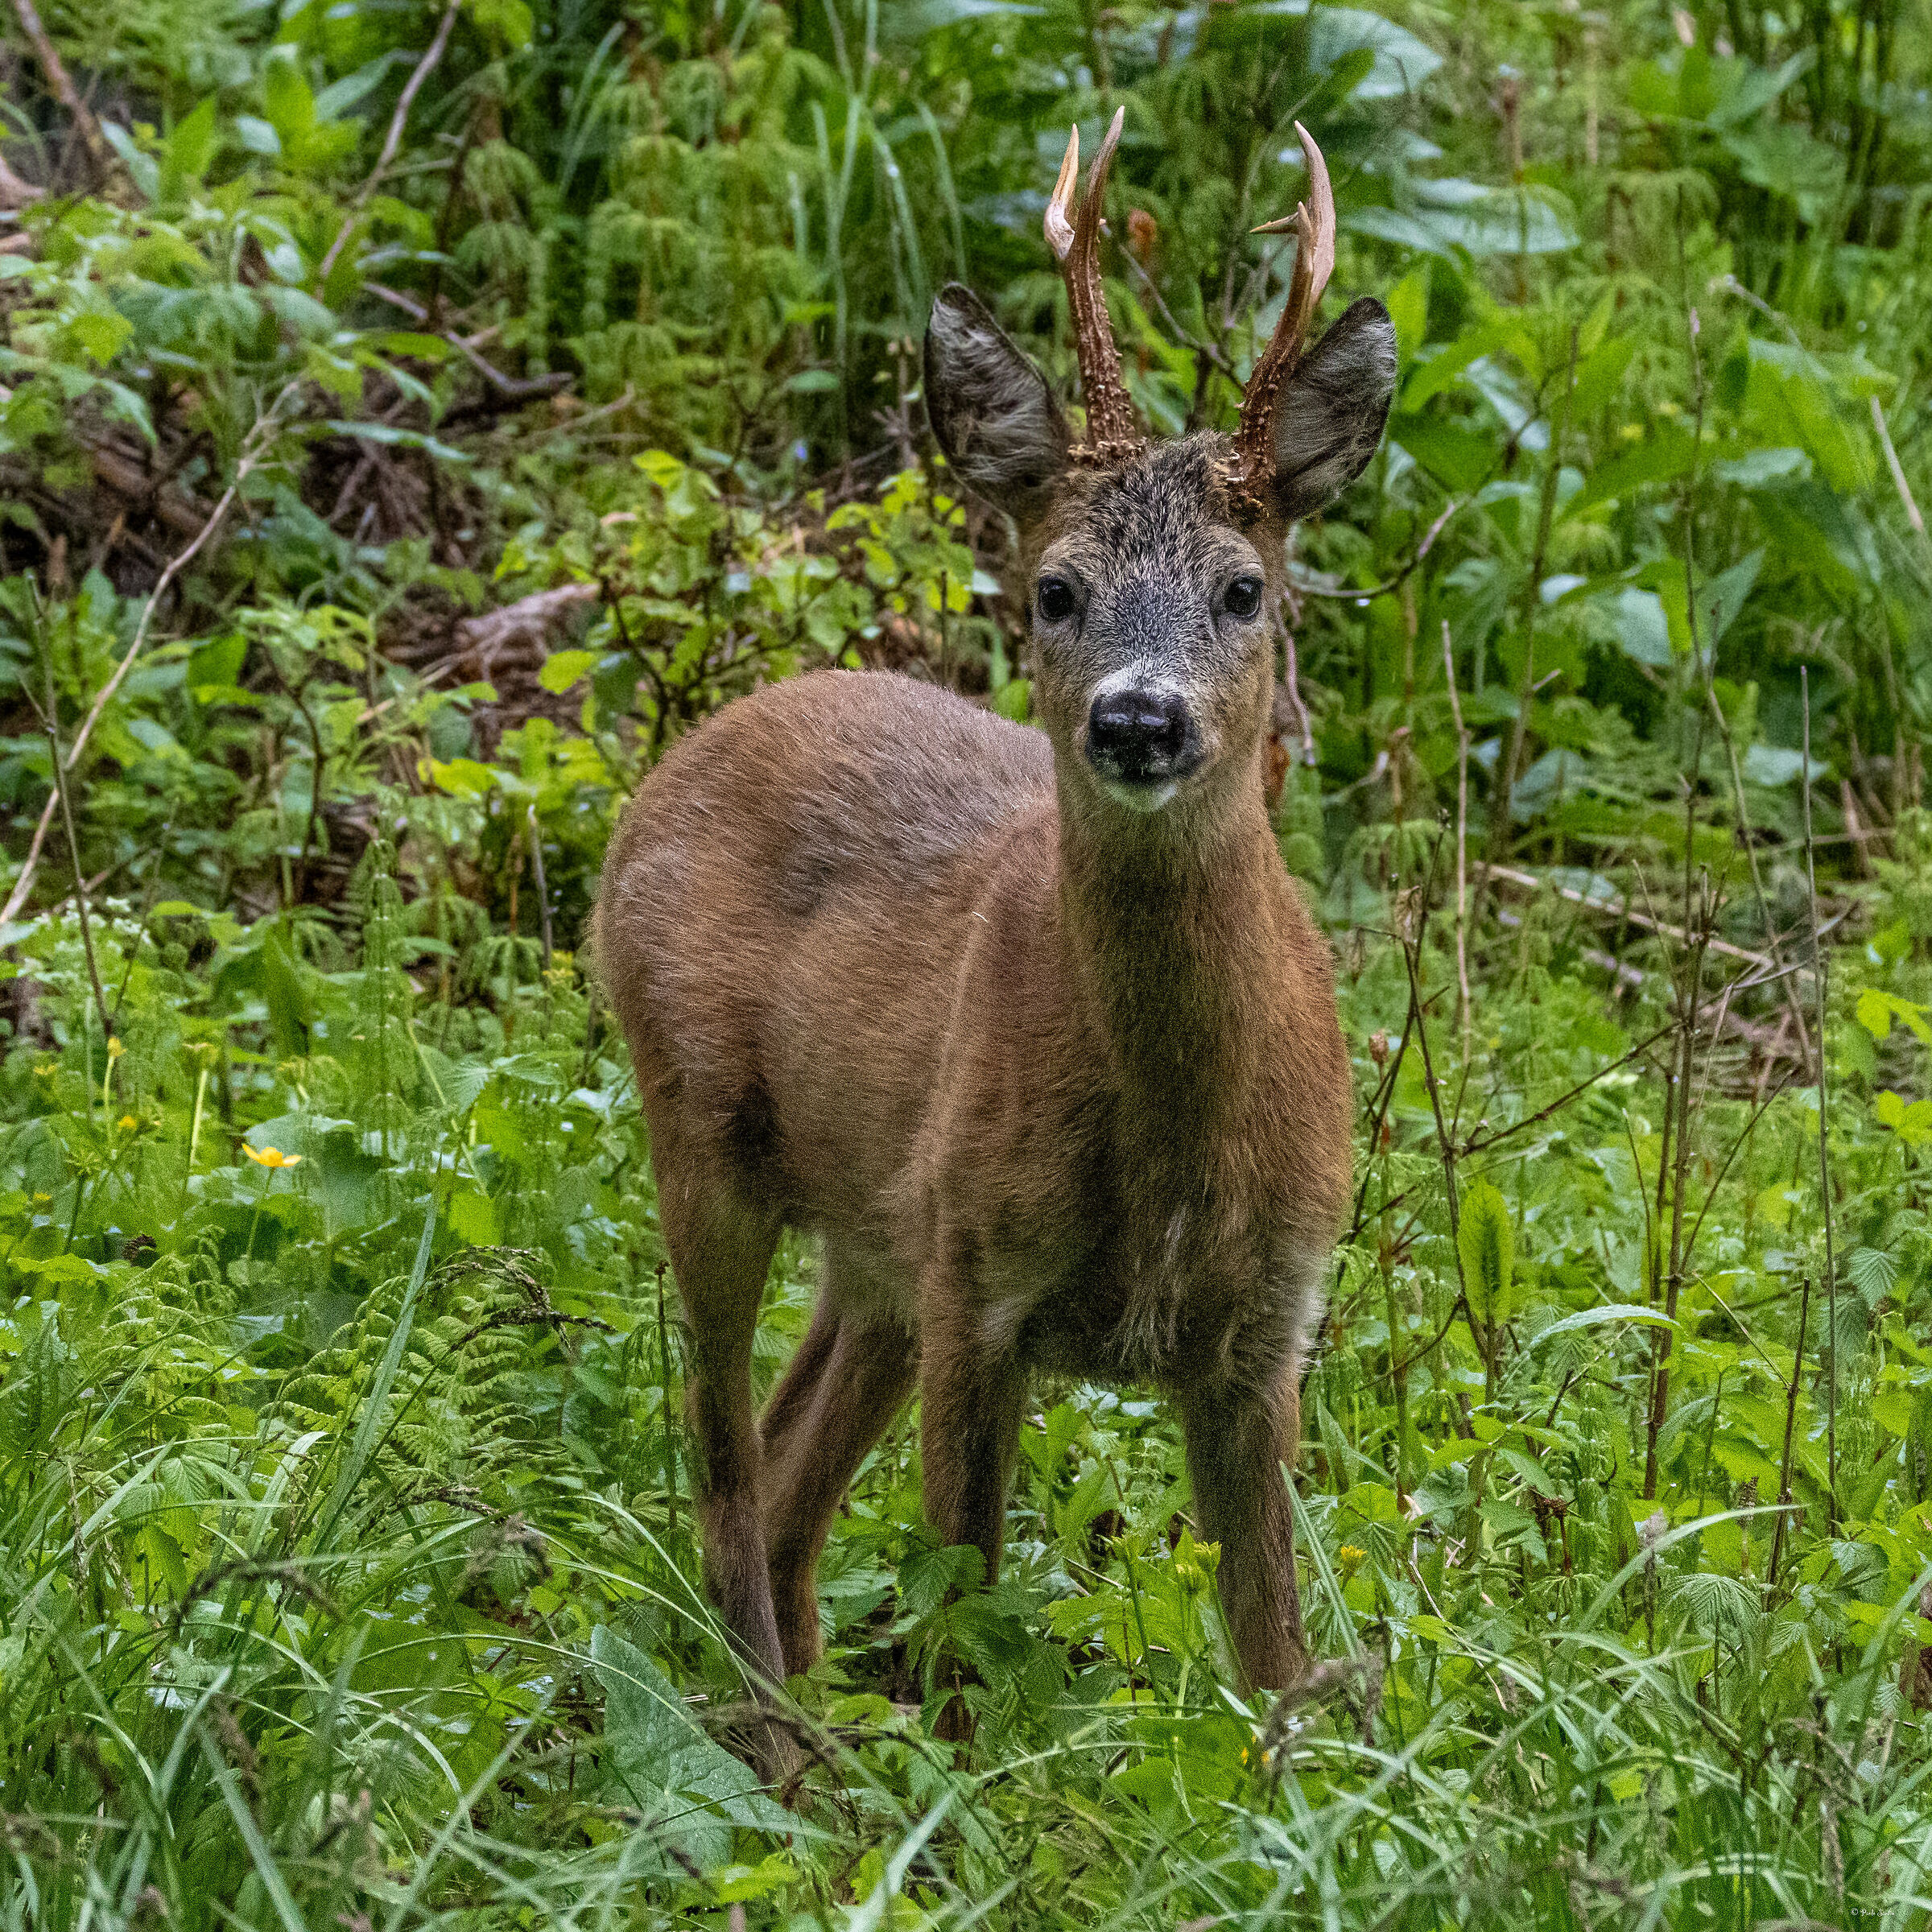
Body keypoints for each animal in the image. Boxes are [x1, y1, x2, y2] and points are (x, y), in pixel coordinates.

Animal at [593, 115, 1393, 1761]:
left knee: (787, 1458)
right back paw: (772, 1729)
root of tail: (677, 763)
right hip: (705, 1130)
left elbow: (1271, 1656)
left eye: (1248, 588)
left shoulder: (1270, 1320)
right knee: (719, 1452)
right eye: (1056, 588)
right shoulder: (986, 1282)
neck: (1173, 1153)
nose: (1140, 720)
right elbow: (962, 1623)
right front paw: (960, 1799)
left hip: (881, 1234)